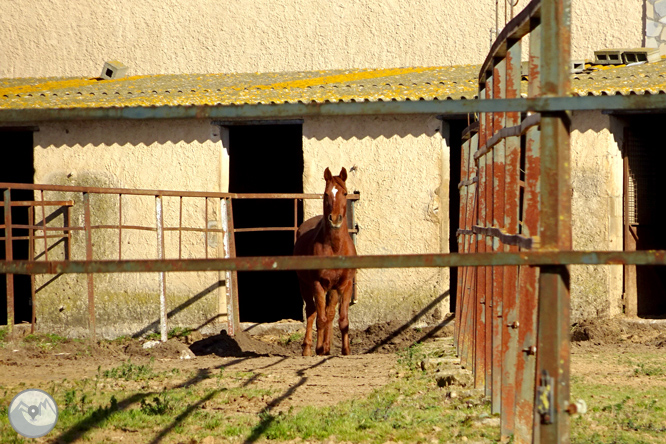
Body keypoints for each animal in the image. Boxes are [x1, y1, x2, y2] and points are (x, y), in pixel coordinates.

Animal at [294, 168, 356, 356]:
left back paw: (326, 347)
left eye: (345, 193)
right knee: (312, 312)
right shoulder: (317, 284)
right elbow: (319, 319)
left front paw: (346, 350)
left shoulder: (345, 284)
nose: (334, 219)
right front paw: (319, 349)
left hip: (333, 288)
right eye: (326, 193)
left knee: (329, 313)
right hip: (305, 285)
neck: (335, 248)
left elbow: (342, 319)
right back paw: (309, 348)